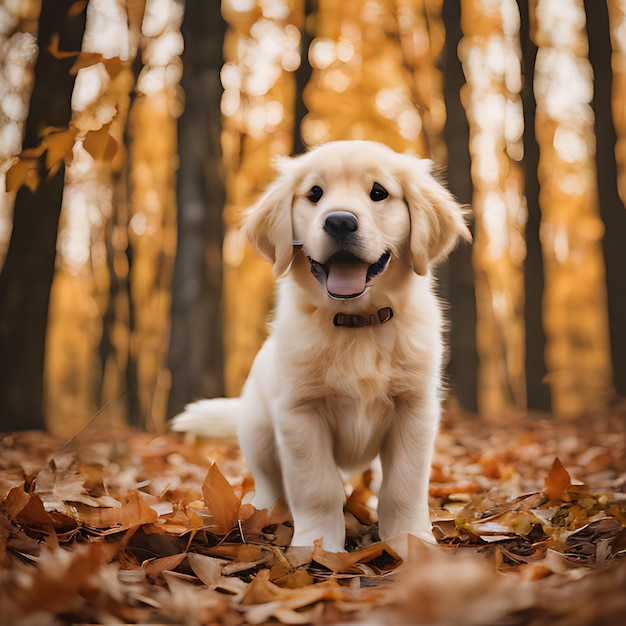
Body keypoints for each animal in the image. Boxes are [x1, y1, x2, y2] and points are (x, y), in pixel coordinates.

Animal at [171, 140, 468, 552]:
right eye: (314, 194)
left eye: (379, 192)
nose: (340, 221)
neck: (356, 324)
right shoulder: (300, 413)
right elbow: (317, 488)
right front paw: (318, 547)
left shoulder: (415, 409)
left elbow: (404, 485)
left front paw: (411, 540)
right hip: (259, 431)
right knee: (269, 481)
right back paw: (262, 511)